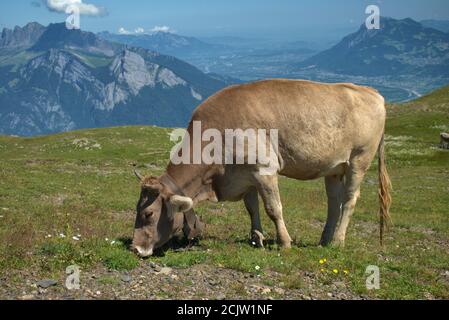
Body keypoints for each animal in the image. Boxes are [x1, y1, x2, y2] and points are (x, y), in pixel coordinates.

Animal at [131, 79, 390, 258]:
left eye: (148, 213)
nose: (135, 248)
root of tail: (372, 92)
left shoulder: (264, 169)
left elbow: (273, 208)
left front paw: (284, 243)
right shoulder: (245, 176)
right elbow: (252, 208)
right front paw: (256, 238)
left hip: (359, 159)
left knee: (349, 200)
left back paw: (337, 241)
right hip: (334, 168)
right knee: (333, 202)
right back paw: (324, 240)